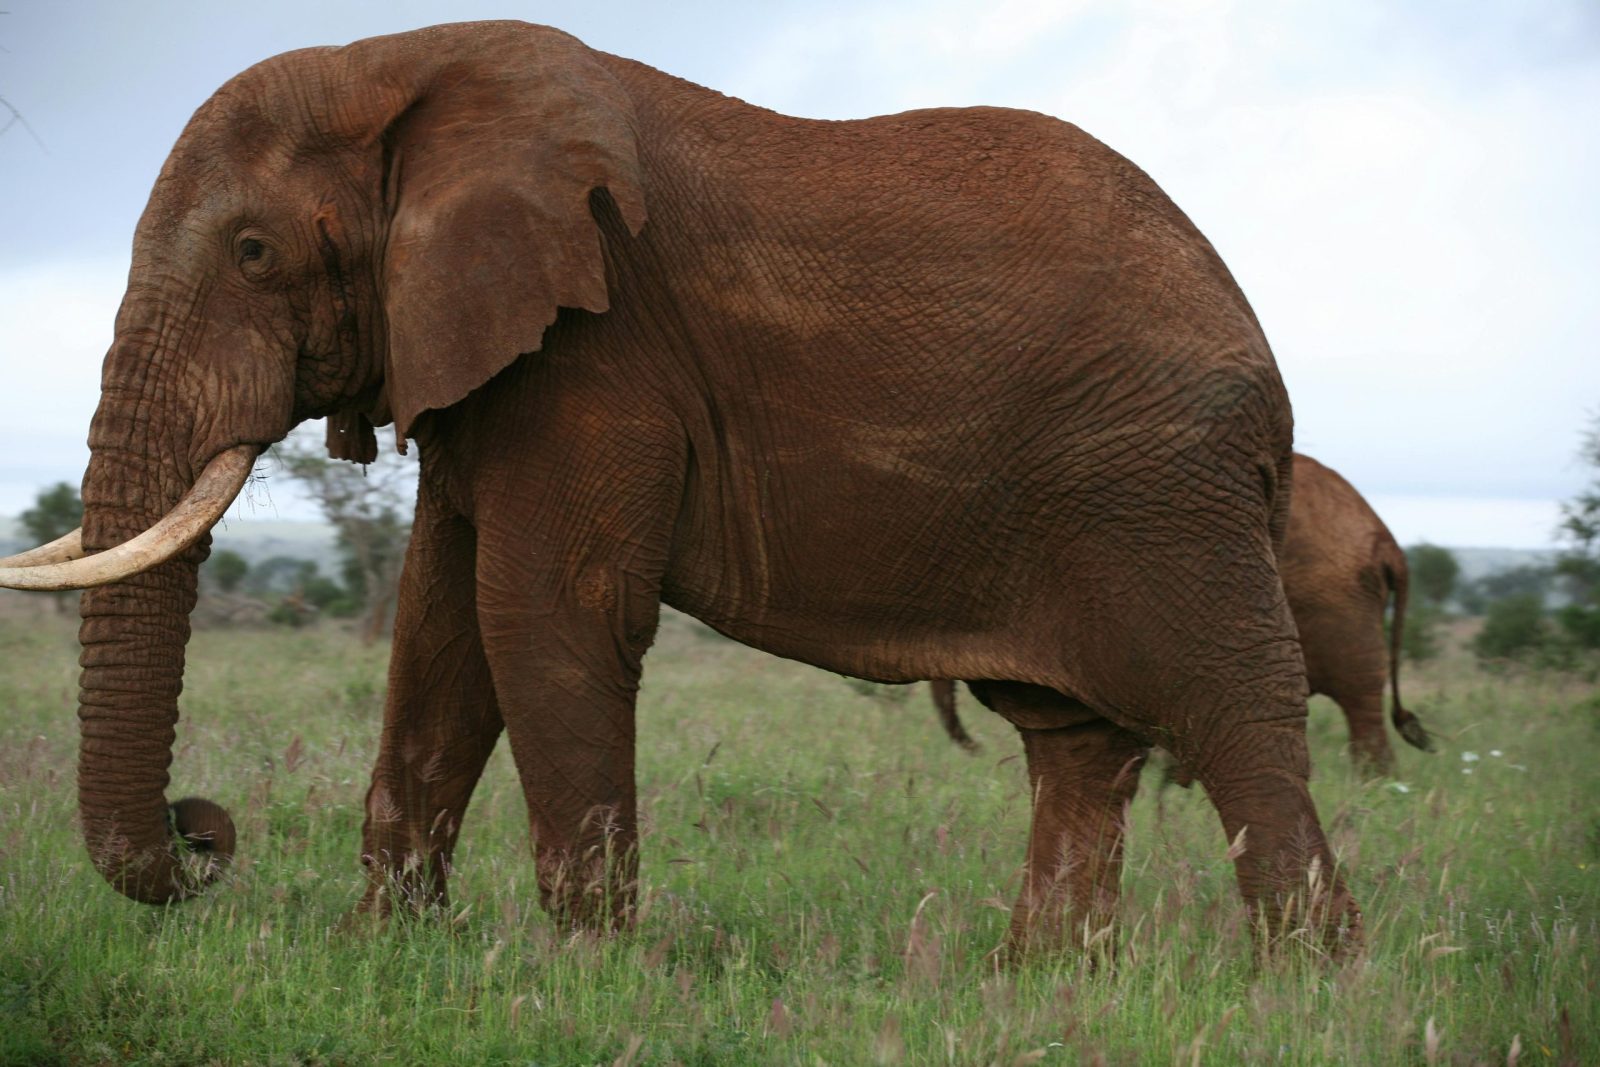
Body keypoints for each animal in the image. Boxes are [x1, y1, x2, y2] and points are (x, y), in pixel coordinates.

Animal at [0, 21, 1357, 955]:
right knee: (1076, 743)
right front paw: (383, 954)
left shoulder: (600, 347)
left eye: (253, 251)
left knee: (1232, 716)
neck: (399, 65)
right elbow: (440, 634)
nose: (204, 829)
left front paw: (581, 979)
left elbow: (541, 617)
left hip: (1165, 491)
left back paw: (1301, 986)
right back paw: (1043, 987)